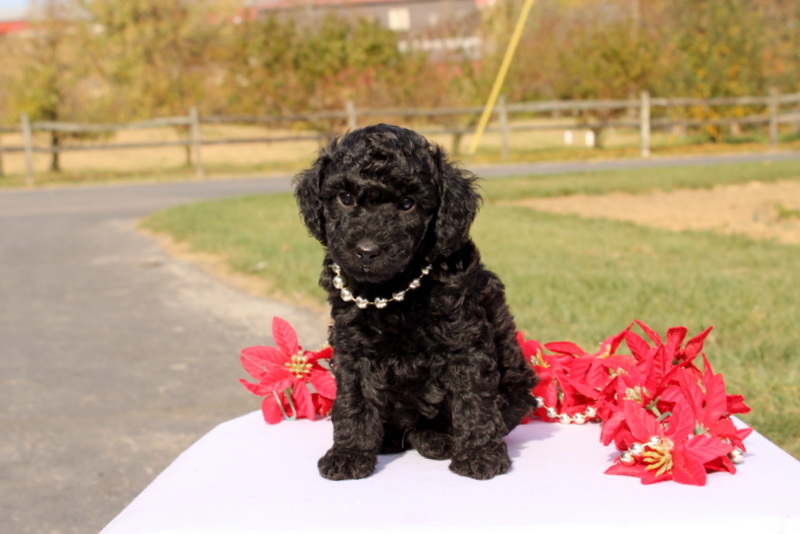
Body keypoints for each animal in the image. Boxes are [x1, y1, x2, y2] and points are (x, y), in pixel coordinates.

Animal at [294, 124, 536, 482]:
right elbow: (354, 399)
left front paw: (479, 455)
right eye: (345, 198)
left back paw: (438, 439)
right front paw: (349, 453)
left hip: (516, 388)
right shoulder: (352, 342)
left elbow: (473, 397)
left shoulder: (464, 338)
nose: (367, 251)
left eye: (408, 204)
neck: (394, 290)